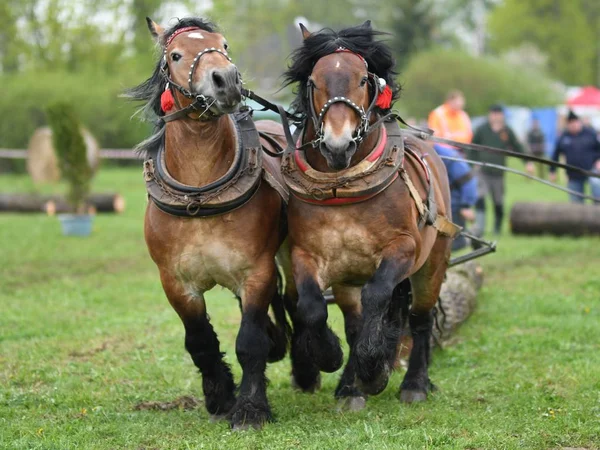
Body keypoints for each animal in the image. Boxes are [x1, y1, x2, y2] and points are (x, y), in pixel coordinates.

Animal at [129, 17, 290, 428]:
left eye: (224, 44)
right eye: (175, 54)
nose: (227, 79)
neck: (200, 197)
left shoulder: (257, 271)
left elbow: (250, 341)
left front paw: (250, 407)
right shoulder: (175, 282)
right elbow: (200, 341)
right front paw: (220, 396)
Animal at [278, 21, 458, 408]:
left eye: (363, 80)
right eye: (313, 81)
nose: (338, 144)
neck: (343, 186)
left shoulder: (402, 249)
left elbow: (378, 295)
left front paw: (375, 366)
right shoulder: (307, 254)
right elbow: (312, 306)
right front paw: (330, 355)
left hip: (432, 263)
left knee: (420, 319)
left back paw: (414, 382)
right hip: (348, 280)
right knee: (355, 323)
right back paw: (350, 387)